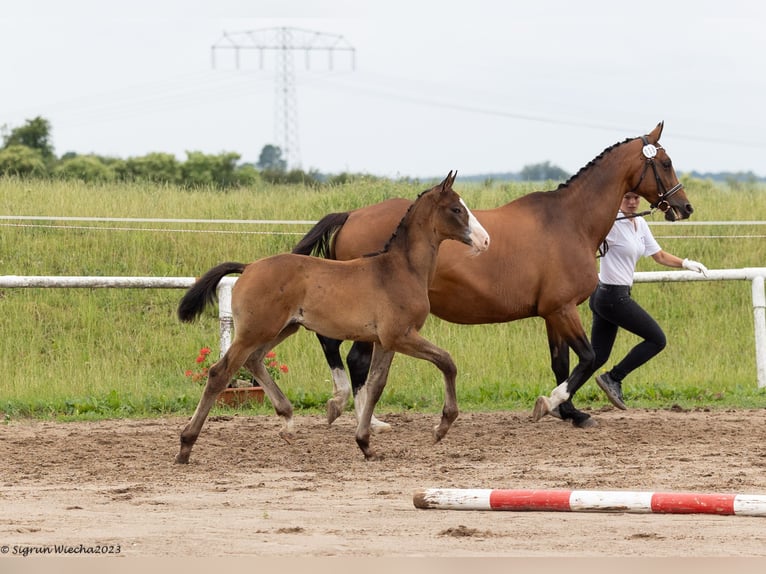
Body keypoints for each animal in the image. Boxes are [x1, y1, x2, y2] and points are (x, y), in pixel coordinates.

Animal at [174, 173, 488, 466]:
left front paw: (365, 444)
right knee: (220, 372)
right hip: (256, 330)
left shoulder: (385, 341)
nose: (485, 240)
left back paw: (288, 422)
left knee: (253, 360)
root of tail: (249, 267)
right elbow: (446, 361)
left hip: (282, 328)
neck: (400, 270)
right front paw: (441, 427)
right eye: (456, 209)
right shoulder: (401, 335)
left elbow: (376, 385)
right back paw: (186, 445)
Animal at [292, 122, 696, 432]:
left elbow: (562, 362)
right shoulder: (563, 309)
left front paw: (570, 413)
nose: (684, 207)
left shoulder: (551, 312)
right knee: (349, 356)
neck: (570, 221)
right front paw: (551, 402)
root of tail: (352, 215)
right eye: (665, 162)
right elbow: (588, 357)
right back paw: (357, 412)